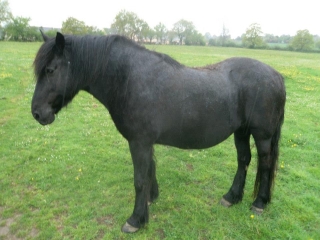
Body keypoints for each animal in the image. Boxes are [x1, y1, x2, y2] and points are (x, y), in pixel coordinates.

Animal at [31, 31, 284, 232]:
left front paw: (135, 220)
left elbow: (139, 179)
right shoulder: (145, 142)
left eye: (50, 70)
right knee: (244, 160)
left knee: (264, 164)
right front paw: (150, 200)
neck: (127, 78)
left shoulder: (139, 142)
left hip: (262, 136)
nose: (37, 113)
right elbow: (150, 171)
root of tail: (277, 76)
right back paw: (231, 197)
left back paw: (259, 203)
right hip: (241, 131)